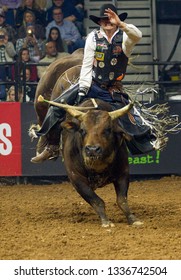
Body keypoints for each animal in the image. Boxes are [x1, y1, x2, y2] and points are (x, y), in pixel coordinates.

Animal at [40, 97, 143, 228]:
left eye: (108, 130)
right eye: (82, 130)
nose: (92, 149)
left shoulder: (123, 173)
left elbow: (122, 200)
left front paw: (133, 219)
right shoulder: (76, 178)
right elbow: (97, 201)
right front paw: (106, 221)